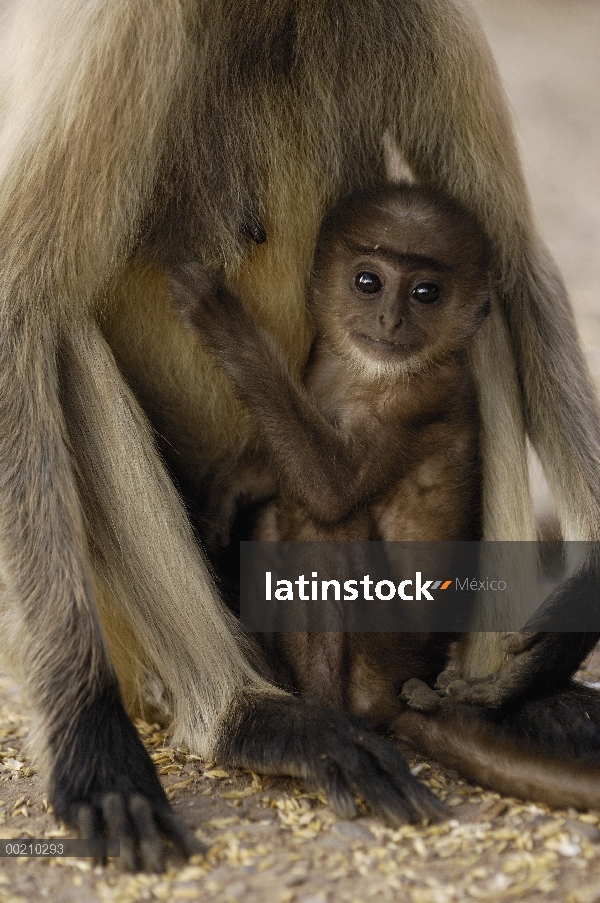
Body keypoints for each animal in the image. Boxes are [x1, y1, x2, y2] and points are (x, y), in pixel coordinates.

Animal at [170, 182, 492, 728]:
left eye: (426, 293)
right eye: (368, 282)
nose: (390, 319)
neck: (366, 372)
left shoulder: (418, 401)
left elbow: (331, 489)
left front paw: (219, 314)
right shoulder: (321, 362)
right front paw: (233, 484)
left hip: (383, 656)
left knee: (332, 523)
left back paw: (326, 709)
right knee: (276, 516)